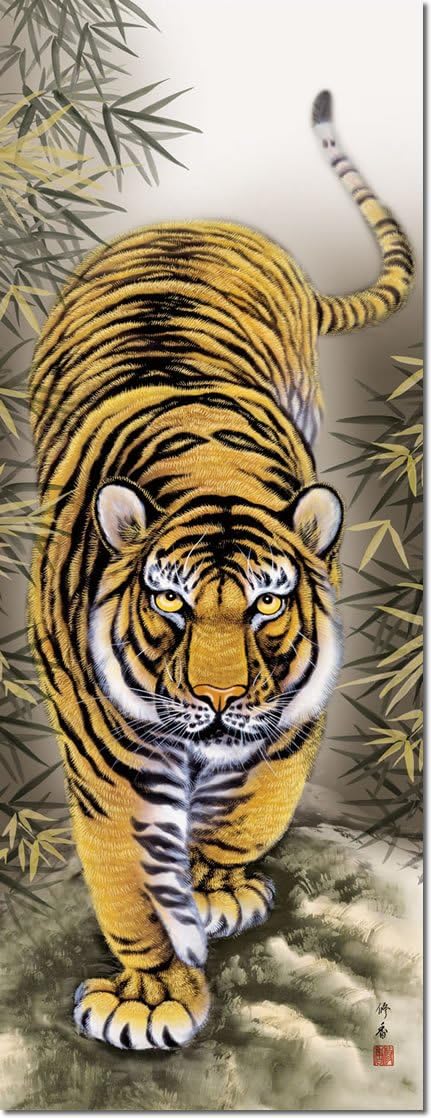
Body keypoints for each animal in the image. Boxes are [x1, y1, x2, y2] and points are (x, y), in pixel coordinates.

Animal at [28, 89, 413, 1051]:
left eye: (268, 605)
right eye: (167, 604)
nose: (215, 699)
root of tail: (196, 220)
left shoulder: (294, 719)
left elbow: (255, 804)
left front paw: (215, 888)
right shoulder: (107, 755)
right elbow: (131, 876)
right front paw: (151, 994)